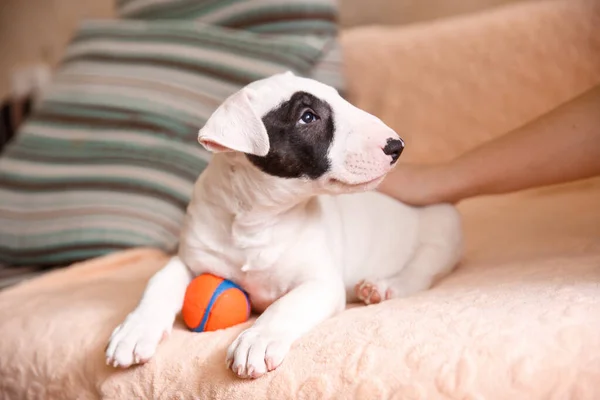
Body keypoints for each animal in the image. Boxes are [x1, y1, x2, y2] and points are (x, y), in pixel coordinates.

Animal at [105, 71, 462, 378]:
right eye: (308, 117)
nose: (396, 145)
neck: (257, 220)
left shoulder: (320, 283)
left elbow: (286, 305)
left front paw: (256, 340)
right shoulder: (192, 258)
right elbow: (160, 280)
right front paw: (134, 331)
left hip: (441, 227)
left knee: (421, 272)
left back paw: (383, 286)